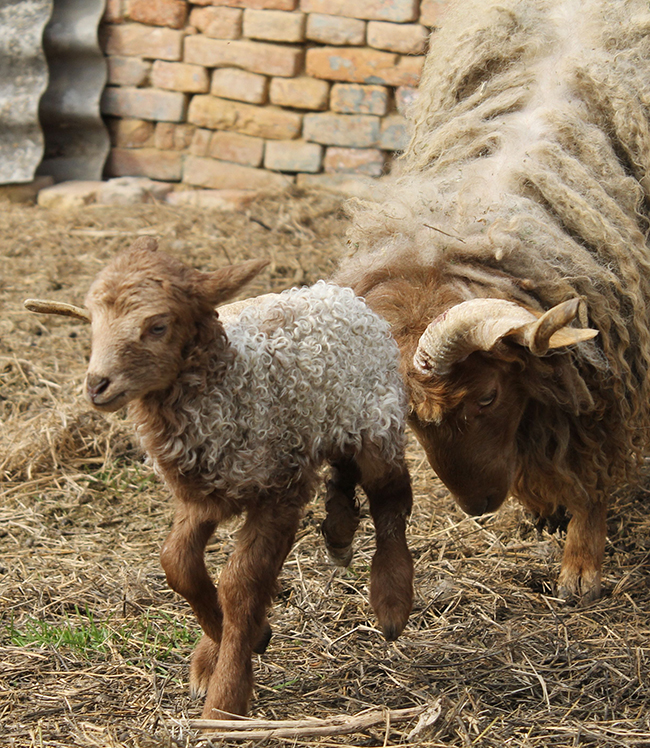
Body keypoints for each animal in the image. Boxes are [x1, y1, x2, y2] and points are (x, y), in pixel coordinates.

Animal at [25, 238, 412, 720]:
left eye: (157, 326)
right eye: (92, 322)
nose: (97, 385)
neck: (231, 386)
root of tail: (337, 292)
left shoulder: (279, 489)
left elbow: (240, 583)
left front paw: (225, 700)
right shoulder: (203, 494)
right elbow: (178, 564)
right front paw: (231, 641)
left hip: (376, 417)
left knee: (390, 493)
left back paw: (392, 601)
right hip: (330, 425)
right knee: (342, 476)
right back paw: (338, 535)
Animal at [332, 0, 648, 600]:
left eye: (486, 397)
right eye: (410, 421)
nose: (477, 506)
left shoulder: (611, 357)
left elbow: (593, 455)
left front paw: (581, 567)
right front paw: (545, 505)